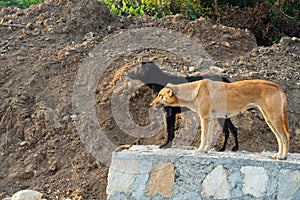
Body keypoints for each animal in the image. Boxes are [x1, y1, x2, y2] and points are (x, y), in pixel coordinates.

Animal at [151, 79, 290, 159]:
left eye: (160, 95)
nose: (151, 105)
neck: (194, 92)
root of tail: (276, 86)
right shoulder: (211, 119)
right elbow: (209, 138)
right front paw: (205, 151)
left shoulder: (204, 118)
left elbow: (203, 137)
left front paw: (199, 150)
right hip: (269, 119)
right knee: (279, 138)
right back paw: (278, 155)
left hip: (274, 118)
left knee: (285, 137)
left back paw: (283, 157)